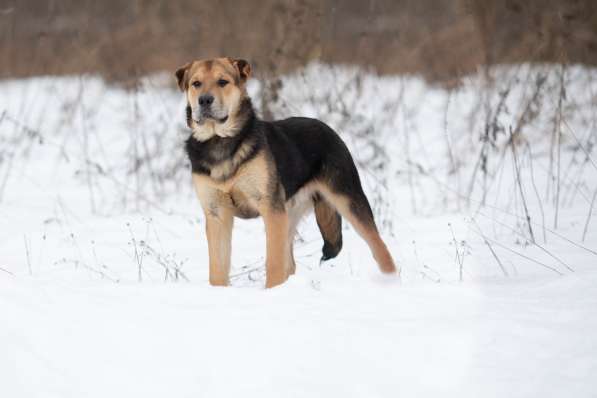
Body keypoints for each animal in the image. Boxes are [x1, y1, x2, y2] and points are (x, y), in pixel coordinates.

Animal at [175, 57, 398, 288]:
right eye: (196, 84)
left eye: (222, 82)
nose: (204, 100)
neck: (219, 141)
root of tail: (327, 128)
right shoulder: (217, 213)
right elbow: (218, 269)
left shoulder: (270, 209)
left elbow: (273, 263)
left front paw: (271, 292)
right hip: (289, 214)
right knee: (290, 263)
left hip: (347, 199)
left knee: (379, 247)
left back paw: (391, 281)